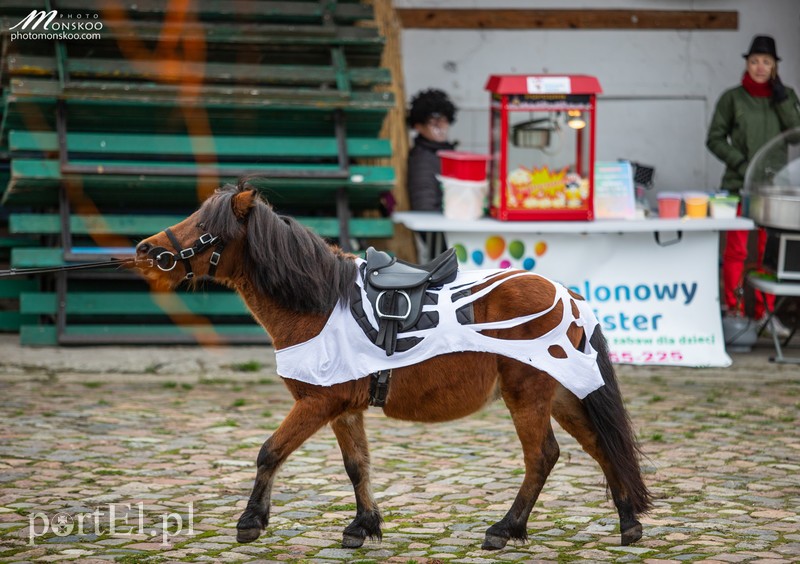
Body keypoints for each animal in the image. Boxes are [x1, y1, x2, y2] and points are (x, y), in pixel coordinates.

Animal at [136, 182, 648, 552]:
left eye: (206, 227)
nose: (145, 250)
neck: (320, 303)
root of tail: (569, 296)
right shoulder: (343, 409)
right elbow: (356, 466)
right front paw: (362, 526)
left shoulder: (317, 403)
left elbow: (270, 452)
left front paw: (250, 521)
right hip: (562, 393)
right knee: (601, 445)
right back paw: (628, 523)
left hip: (529, 395)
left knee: (542, 456)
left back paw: (505, 529)